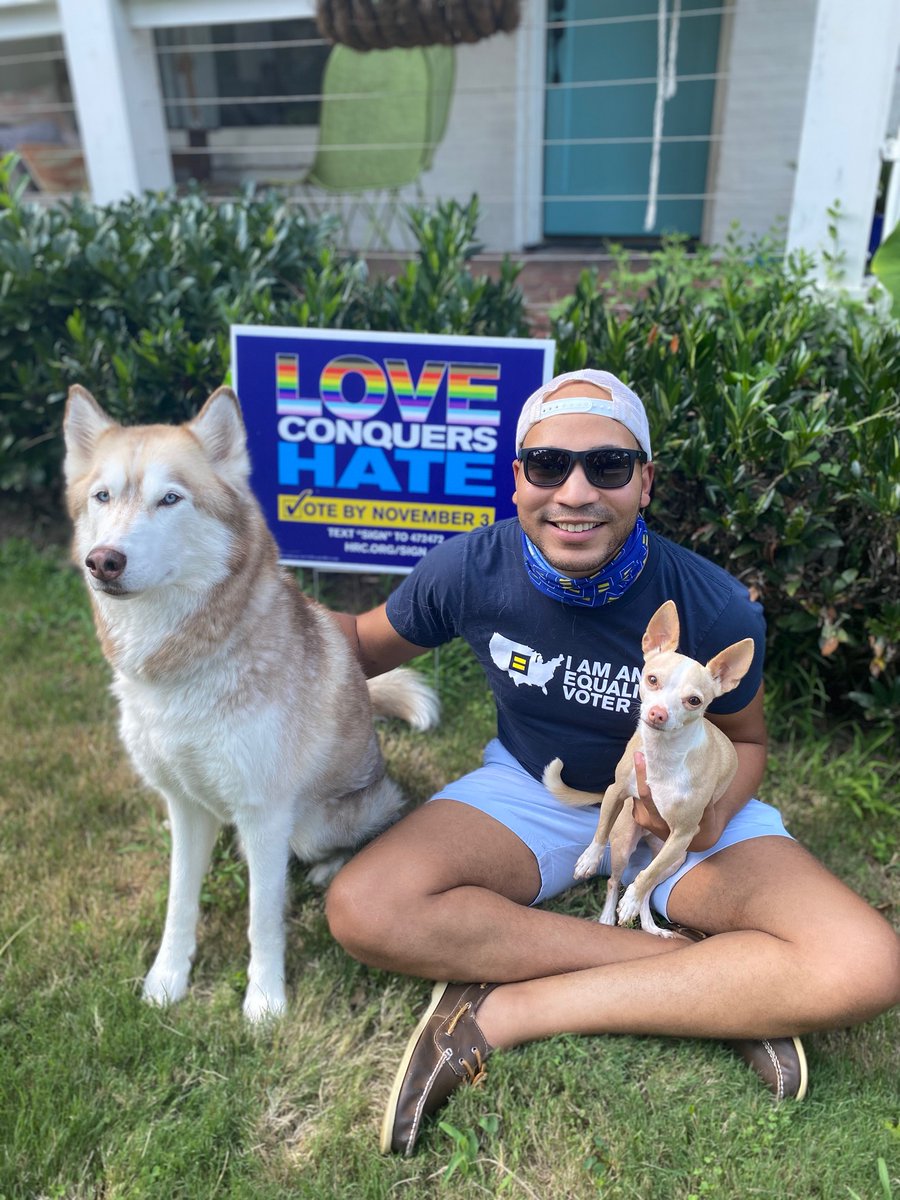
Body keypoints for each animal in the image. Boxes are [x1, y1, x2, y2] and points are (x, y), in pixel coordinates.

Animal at [63, 384, 439, 1021]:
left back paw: (330, 868)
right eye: (102, 496)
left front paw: (264, 1002)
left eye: (170, 498)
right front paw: (167, 980)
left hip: (318, 820)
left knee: (356, 832)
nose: (104, 560)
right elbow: (179, 902)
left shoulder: (265, 813)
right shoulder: (183, 804)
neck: (180, 673)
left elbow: (262, 918)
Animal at [543, 600, 754, 937]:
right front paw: (589, 859)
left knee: (648, 882)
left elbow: (645, 879)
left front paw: (630, 901)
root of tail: (647, 838)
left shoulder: (683, 833)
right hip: (624, 842)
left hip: (674, 857)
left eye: (694, 701)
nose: (657, 713)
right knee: (614, 879)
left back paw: (648, 924)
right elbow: (600, 830)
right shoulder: (616, 792)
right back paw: (607, 917)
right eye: (652, 680)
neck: (662, 756)